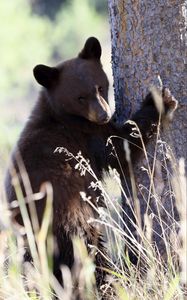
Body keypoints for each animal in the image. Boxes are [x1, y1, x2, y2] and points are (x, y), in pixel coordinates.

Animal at [5, 36, 178, 296]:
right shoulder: (87, 138)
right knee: (90, 258)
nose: (104, 114)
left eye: (100, 87)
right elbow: (120, 148)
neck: (61, 115)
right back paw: (111, 283)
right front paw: (159, 100)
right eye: (79, 97)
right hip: (73, 223)